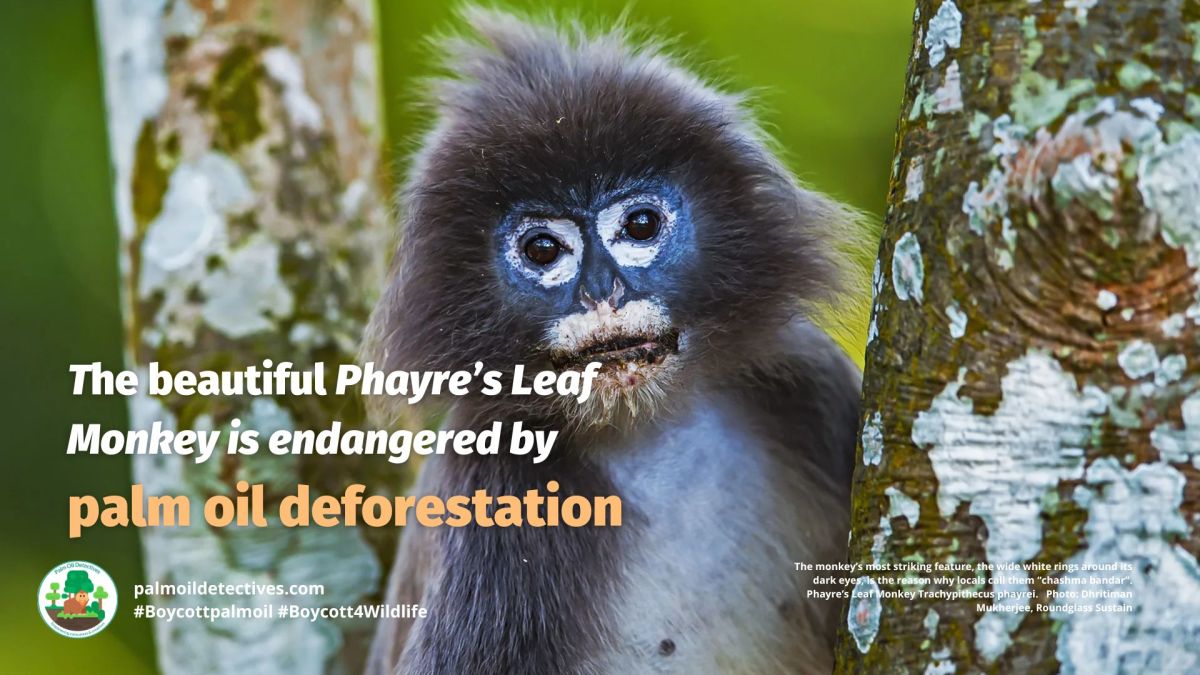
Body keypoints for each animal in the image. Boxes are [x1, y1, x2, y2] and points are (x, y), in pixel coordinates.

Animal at [364, 8, 865, 675]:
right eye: (543, 249)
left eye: (641, 225)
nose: (603, 292)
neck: (651, 436)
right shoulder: (494, 488)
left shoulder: (807, 376)